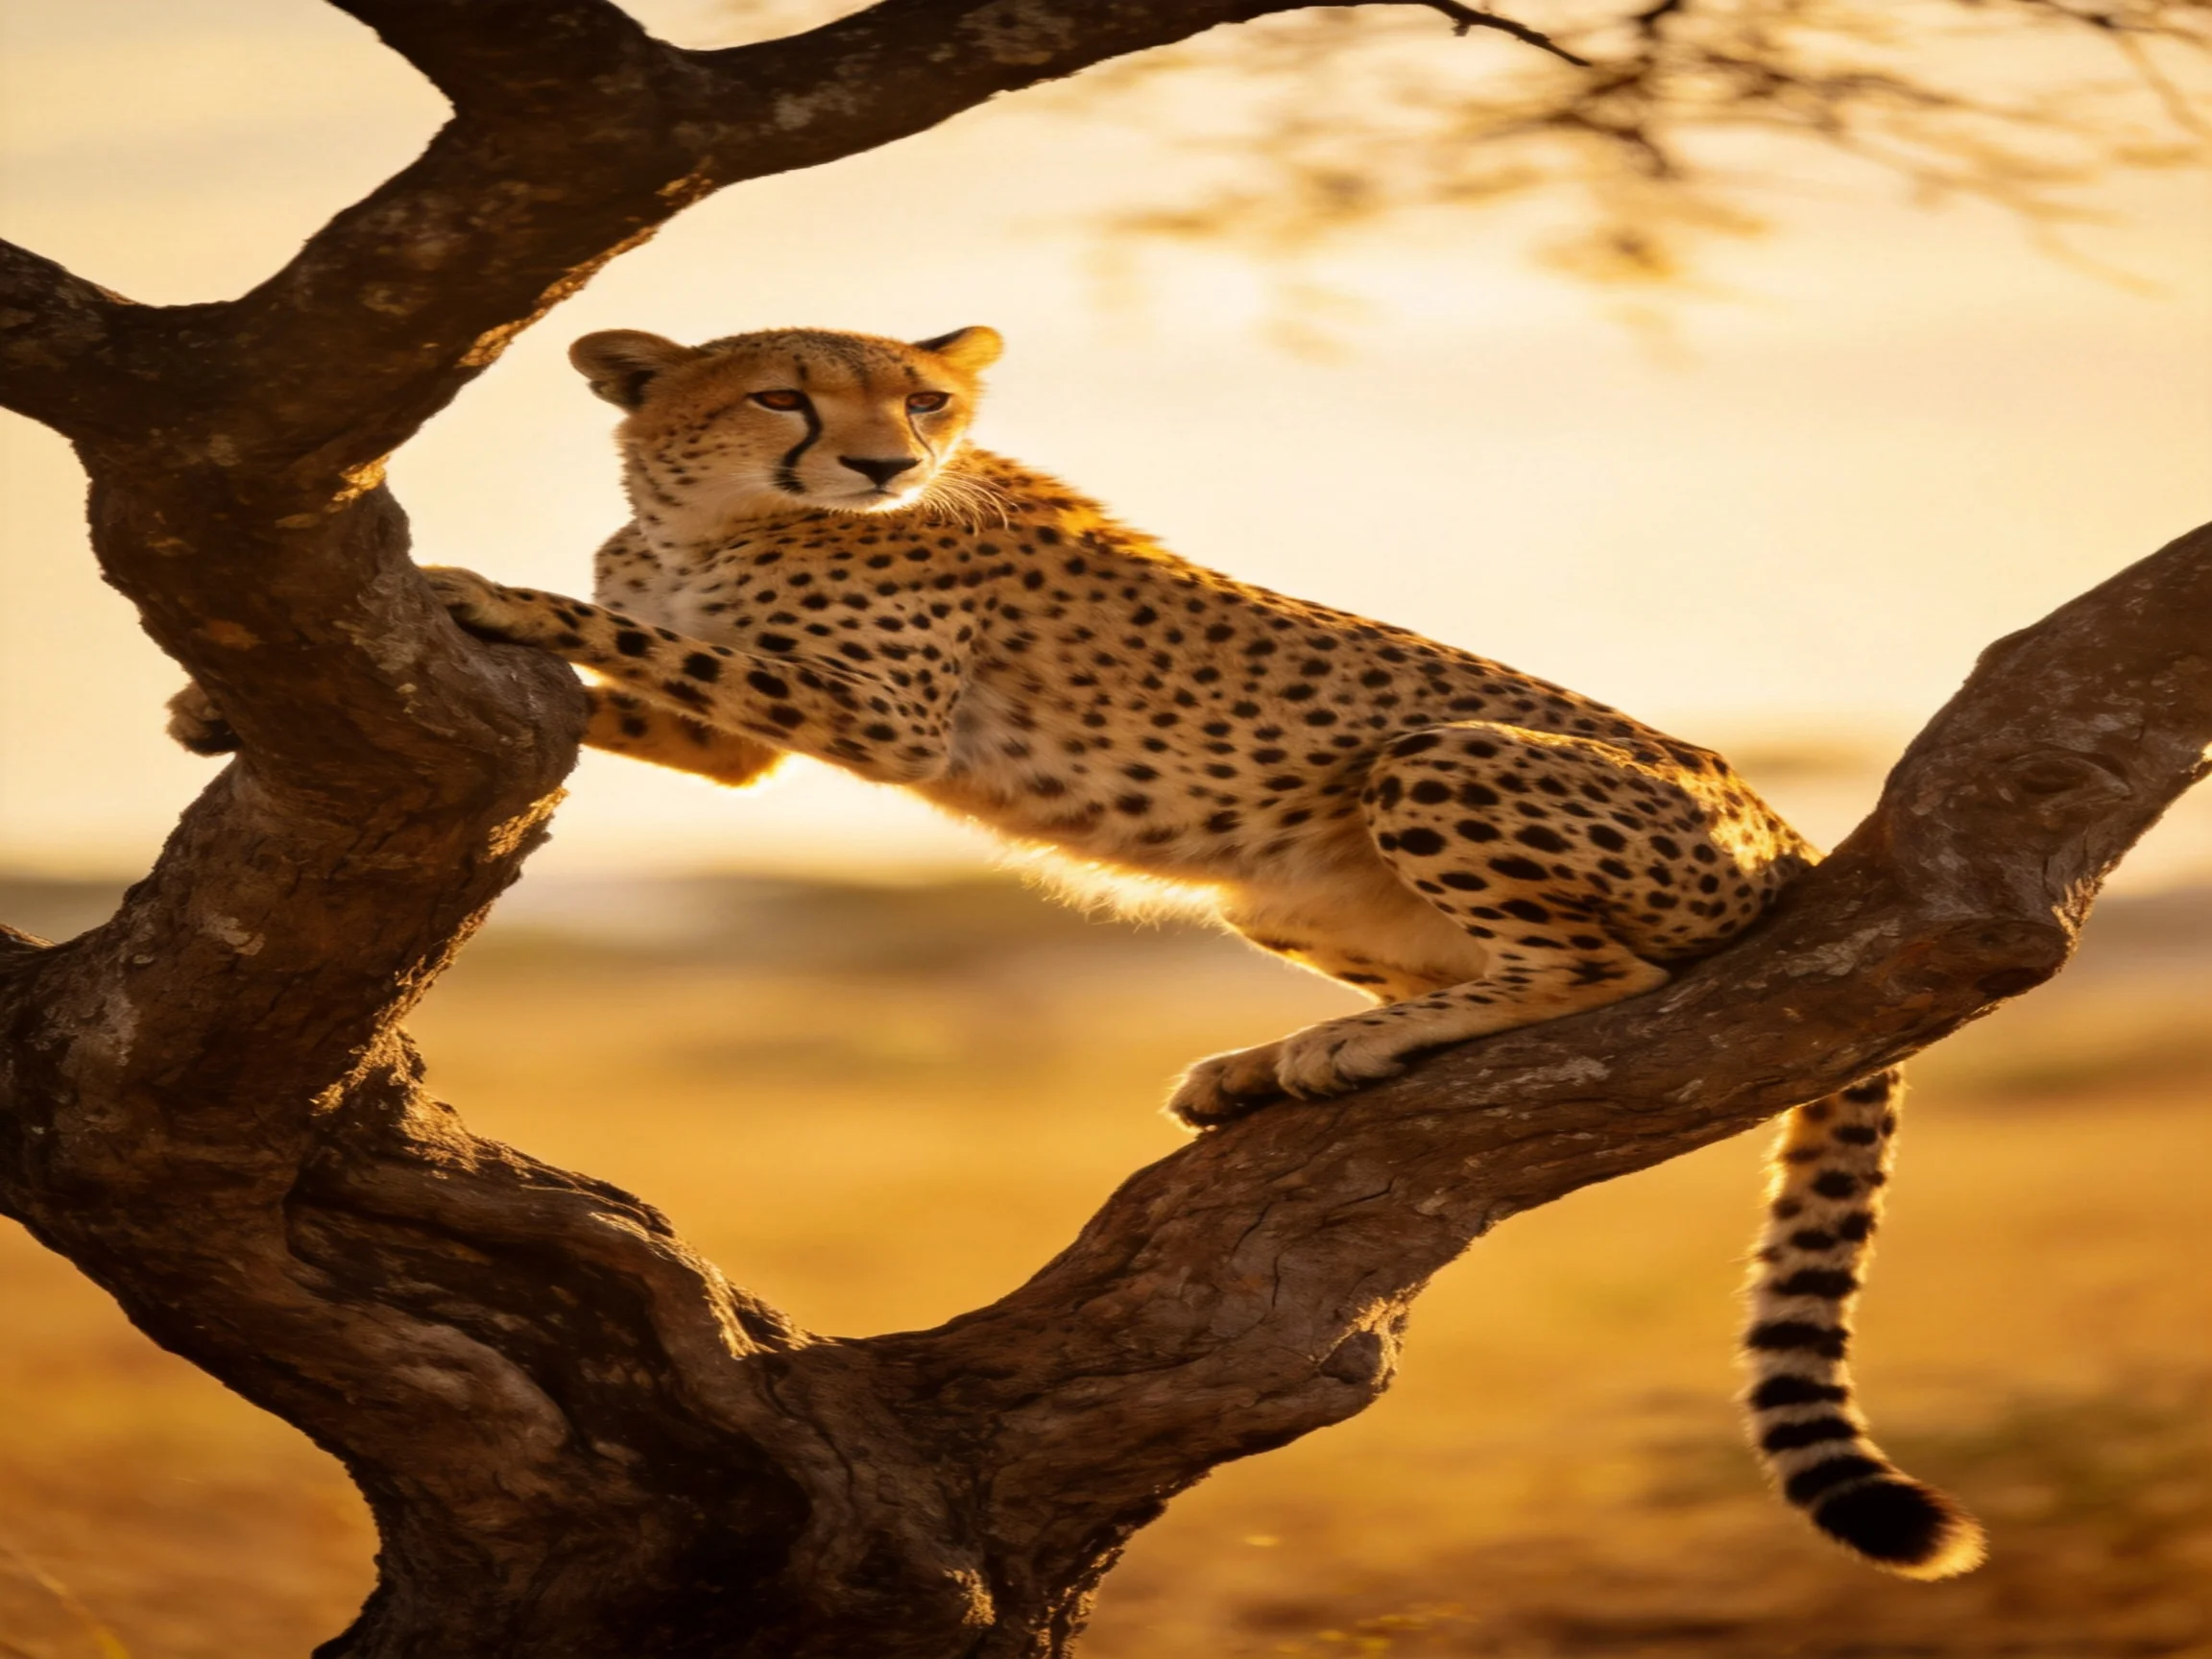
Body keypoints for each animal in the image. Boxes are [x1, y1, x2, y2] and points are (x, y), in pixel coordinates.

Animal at [169, 322, 1984, 1579]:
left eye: (925, 402)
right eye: (786, 395)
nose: (879, 467)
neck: (710, 509)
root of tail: (1784, 822)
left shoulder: (865, 709)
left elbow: (621, 633)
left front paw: (489, 591)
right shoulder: (744, 747)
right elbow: (649, 679)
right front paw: (212, 706)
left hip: (1437, 757)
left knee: (1604, 974)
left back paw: (1345, 1049)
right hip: (1278, 892)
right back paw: (1265, 1061)